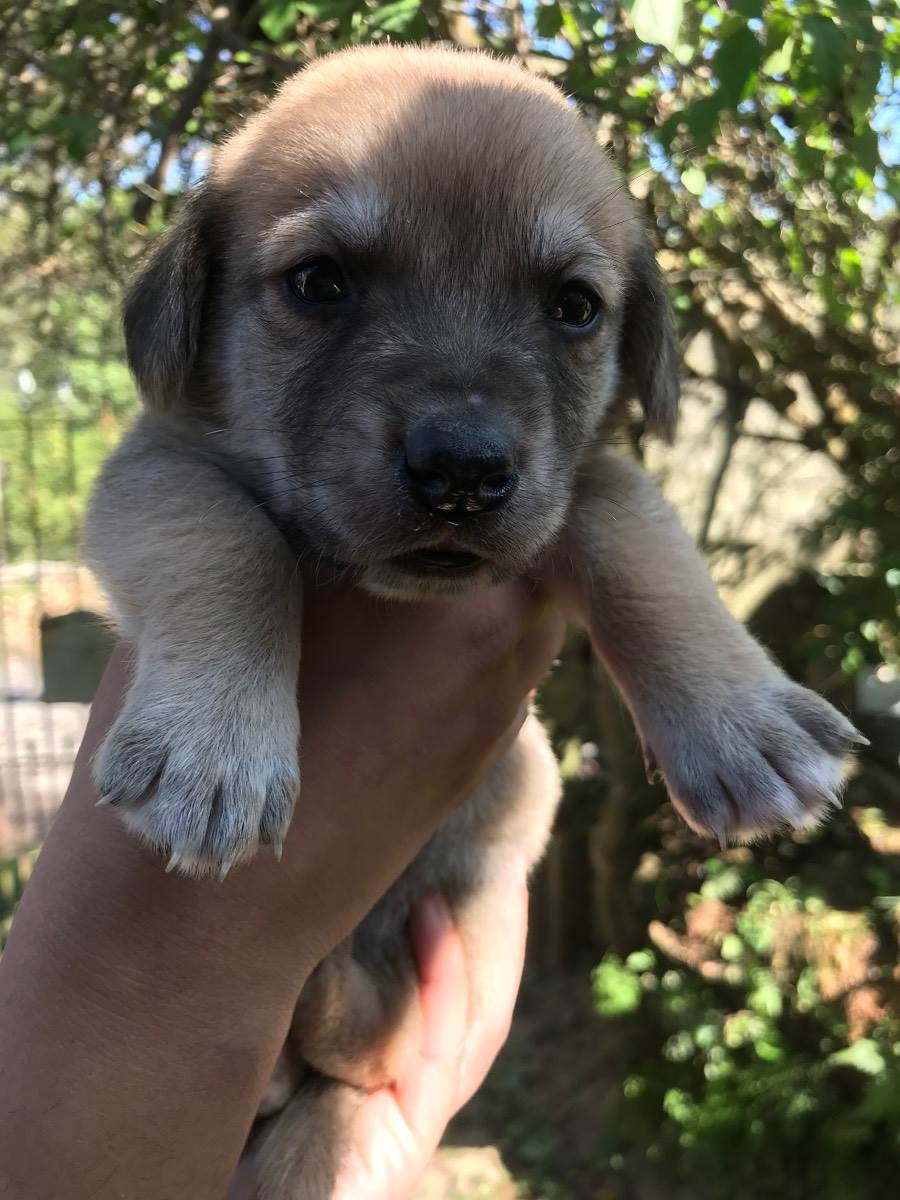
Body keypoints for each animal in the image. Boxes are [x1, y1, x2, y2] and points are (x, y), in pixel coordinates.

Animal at [82, 46, 859, 1200]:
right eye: (319, 283)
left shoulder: (589, 481)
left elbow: (637, 536)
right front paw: (214, 748)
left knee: (373, 1038)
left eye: (575, 308)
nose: (462, 472)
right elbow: (232, 543)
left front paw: (741, 722)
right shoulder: (159, 468)